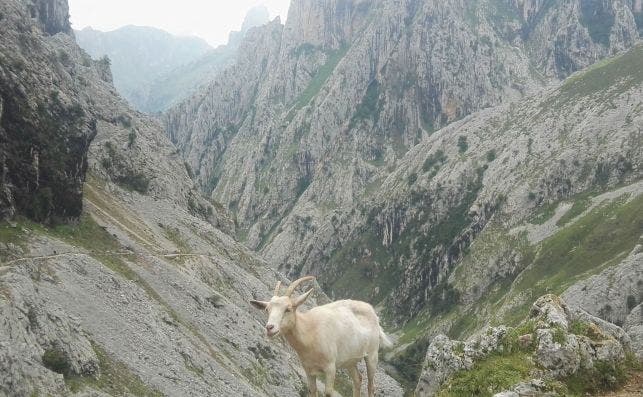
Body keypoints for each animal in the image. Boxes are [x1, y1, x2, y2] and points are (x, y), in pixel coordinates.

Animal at [252, 276, 392, 396]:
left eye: (288, 309)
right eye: (267, 309)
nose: (270, 328)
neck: (309, 331)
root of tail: (372, 312)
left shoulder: (330, 368)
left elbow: (328, 392)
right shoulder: (308, 370)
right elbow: (312, 390)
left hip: (372, 354)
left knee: (371, 386)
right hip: (350, 360)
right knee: (358, 379)